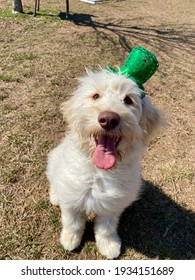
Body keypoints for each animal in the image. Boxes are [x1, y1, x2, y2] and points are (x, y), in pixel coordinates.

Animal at [46, 69, 161, 258]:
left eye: (128, 100)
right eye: (95, 96)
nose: (108, 119)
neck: (99, 173)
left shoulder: (112, 206)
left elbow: (106, 228)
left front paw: (109, 246)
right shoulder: (72, 199)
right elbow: (73, 222)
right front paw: (70, 239)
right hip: (53, 161)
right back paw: (55, 196)